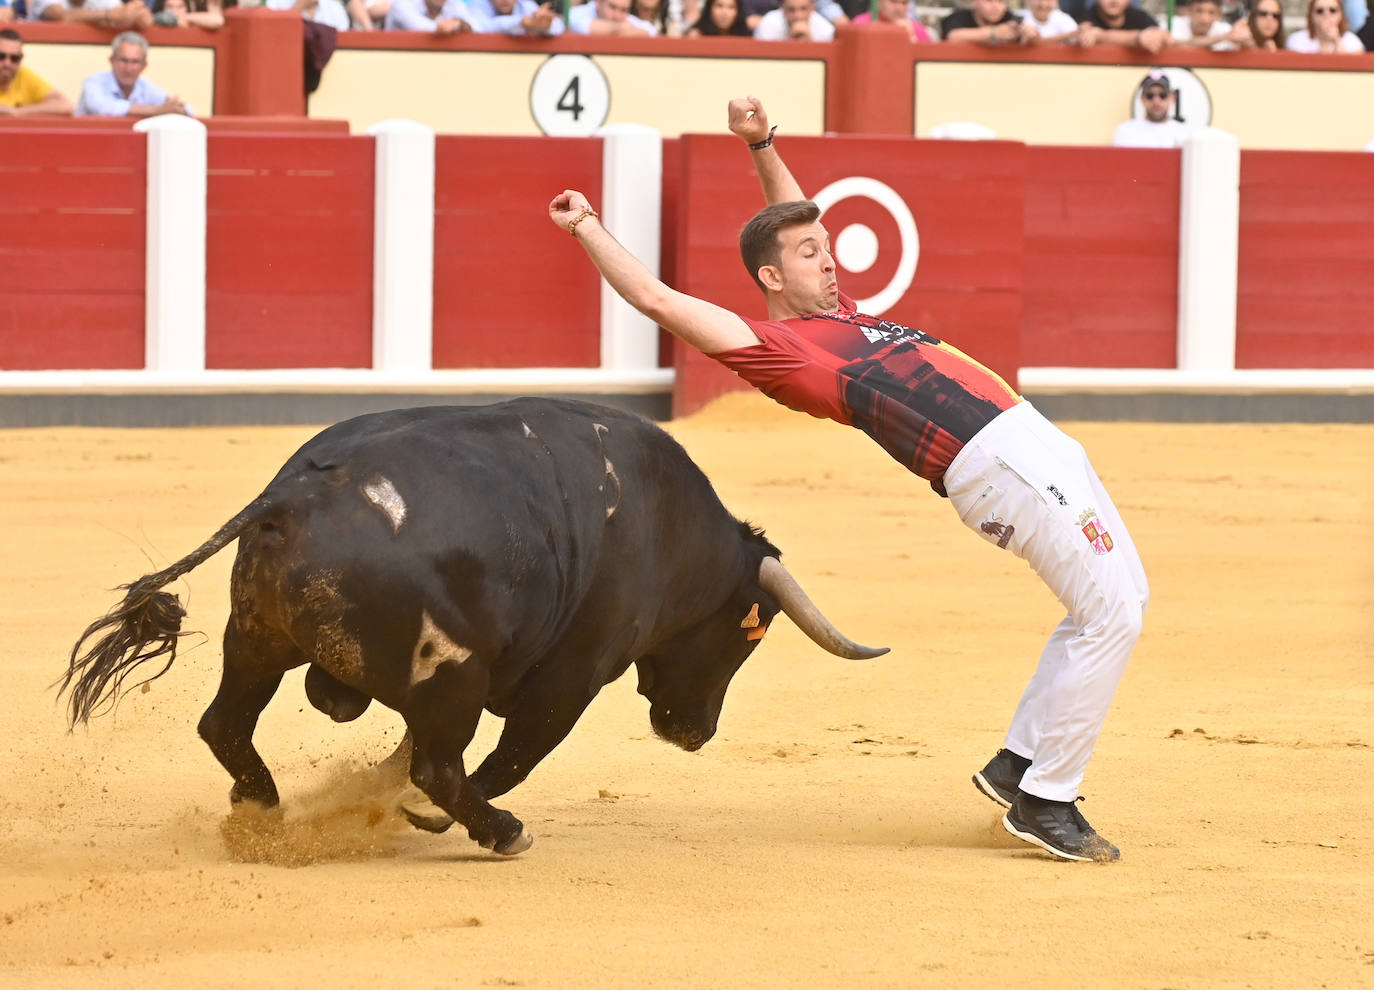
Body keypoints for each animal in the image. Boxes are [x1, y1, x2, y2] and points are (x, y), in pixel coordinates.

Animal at [59, 398, 884, 851]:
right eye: (751, 632)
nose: (697, 733)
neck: (671, 527)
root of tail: (291, 496)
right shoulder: (573, 675)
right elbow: (515, 752)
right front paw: (433, 817)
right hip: (449, 673)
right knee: (442, 767)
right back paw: (502, 832)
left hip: (256, 637)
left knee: (227, 724)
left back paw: (261, 810)